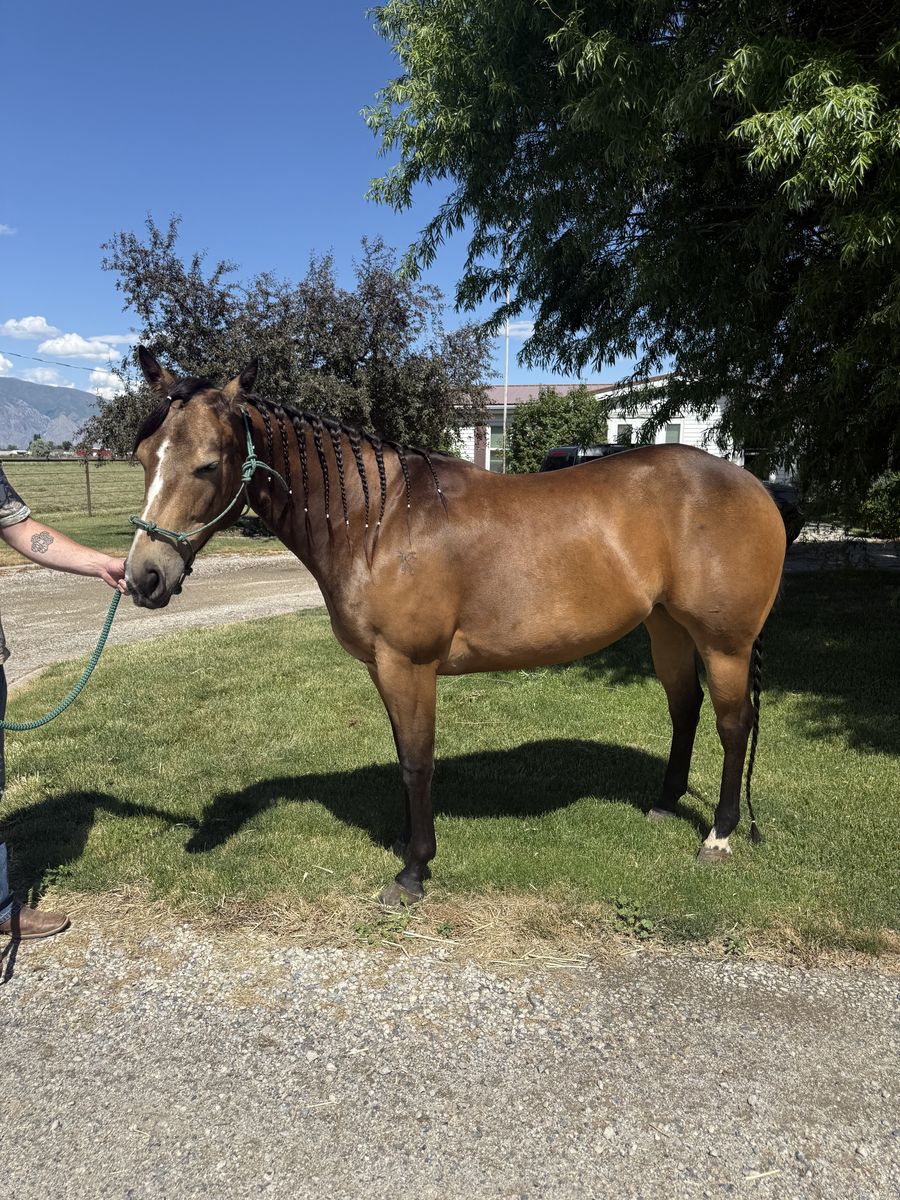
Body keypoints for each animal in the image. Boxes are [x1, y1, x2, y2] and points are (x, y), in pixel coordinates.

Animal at [126, 348, 786, 905]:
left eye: (208, 465)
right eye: (143, 457)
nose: (144, 577)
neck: (378, 520)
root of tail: (756, 487)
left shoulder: (409, 664)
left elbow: (418, 761)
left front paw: (414, 870)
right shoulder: (386, 668)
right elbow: (403, 753)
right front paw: (406, 843)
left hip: (724, 644)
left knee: (733, 725)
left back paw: (719, 835)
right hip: (666, 628)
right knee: (685, 709)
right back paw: (665, 804)